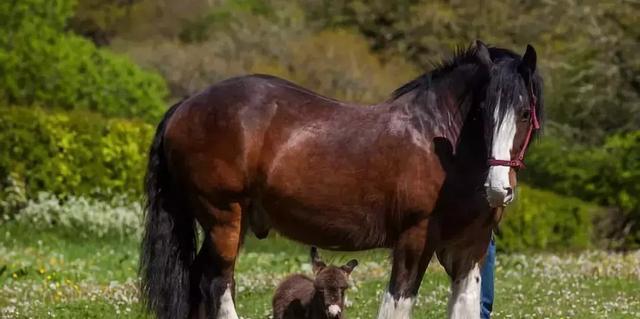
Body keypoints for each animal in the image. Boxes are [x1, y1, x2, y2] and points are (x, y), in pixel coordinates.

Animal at [141, 40, 544, 319]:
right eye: (483, 111)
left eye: (525, 113)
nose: (498, 188)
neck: (440, 141)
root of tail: (186, 106)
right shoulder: (414, 241)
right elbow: (397, 304)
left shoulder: (469, 252)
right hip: (224, 218)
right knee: (217, 283)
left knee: (199, 280)